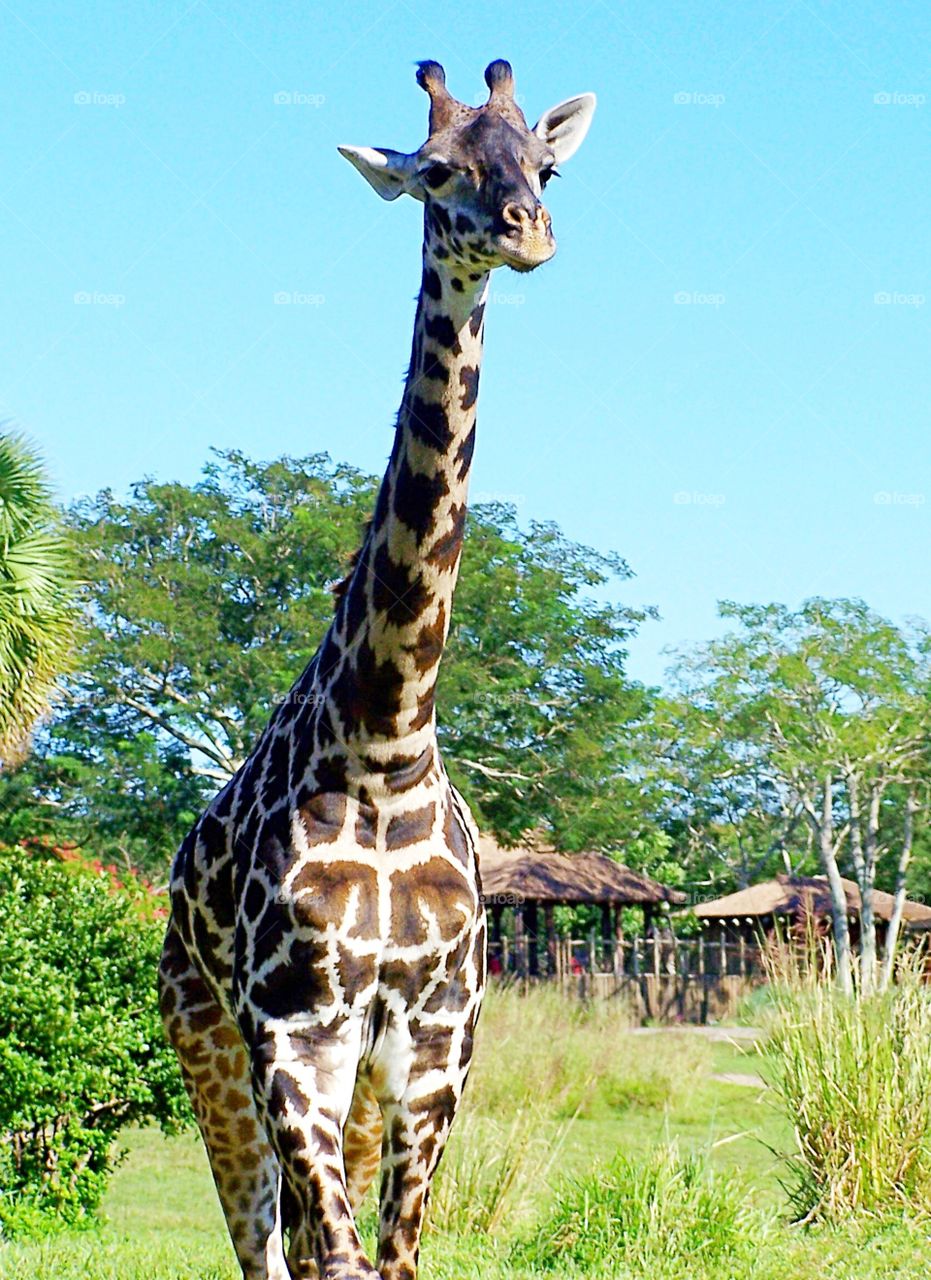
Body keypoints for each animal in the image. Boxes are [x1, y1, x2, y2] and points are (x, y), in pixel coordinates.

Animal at [158, 57, 596, 1280]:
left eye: (542, 168)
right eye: (438, 169)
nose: (526, 232)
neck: (386, 737)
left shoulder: (439, 1032)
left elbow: (389, 1258)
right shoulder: (290, 1026)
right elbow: (335, 1255)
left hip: (356, 1073)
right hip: (204, 1037)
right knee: (264, 1245)